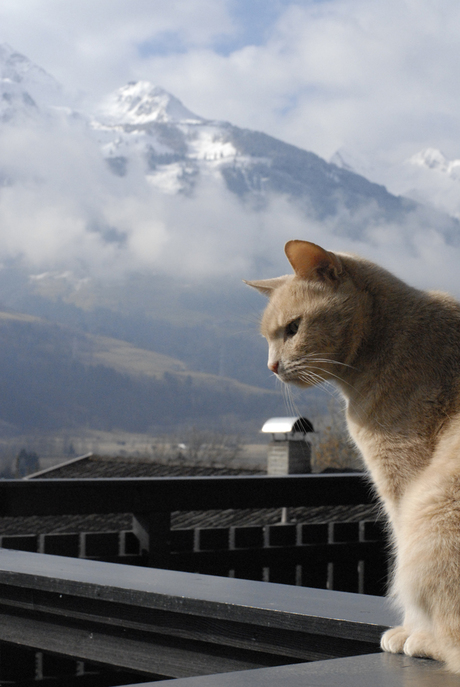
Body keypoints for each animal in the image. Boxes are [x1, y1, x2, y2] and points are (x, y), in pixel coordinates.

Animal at [248, 239, 460, 676]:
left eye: (292, 329)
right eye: (268, 338)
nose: (271, 366)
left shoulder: (403, 486)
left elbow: (404, 569)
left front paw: (411, 630)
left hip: (434, 508)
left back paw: (427, 641)